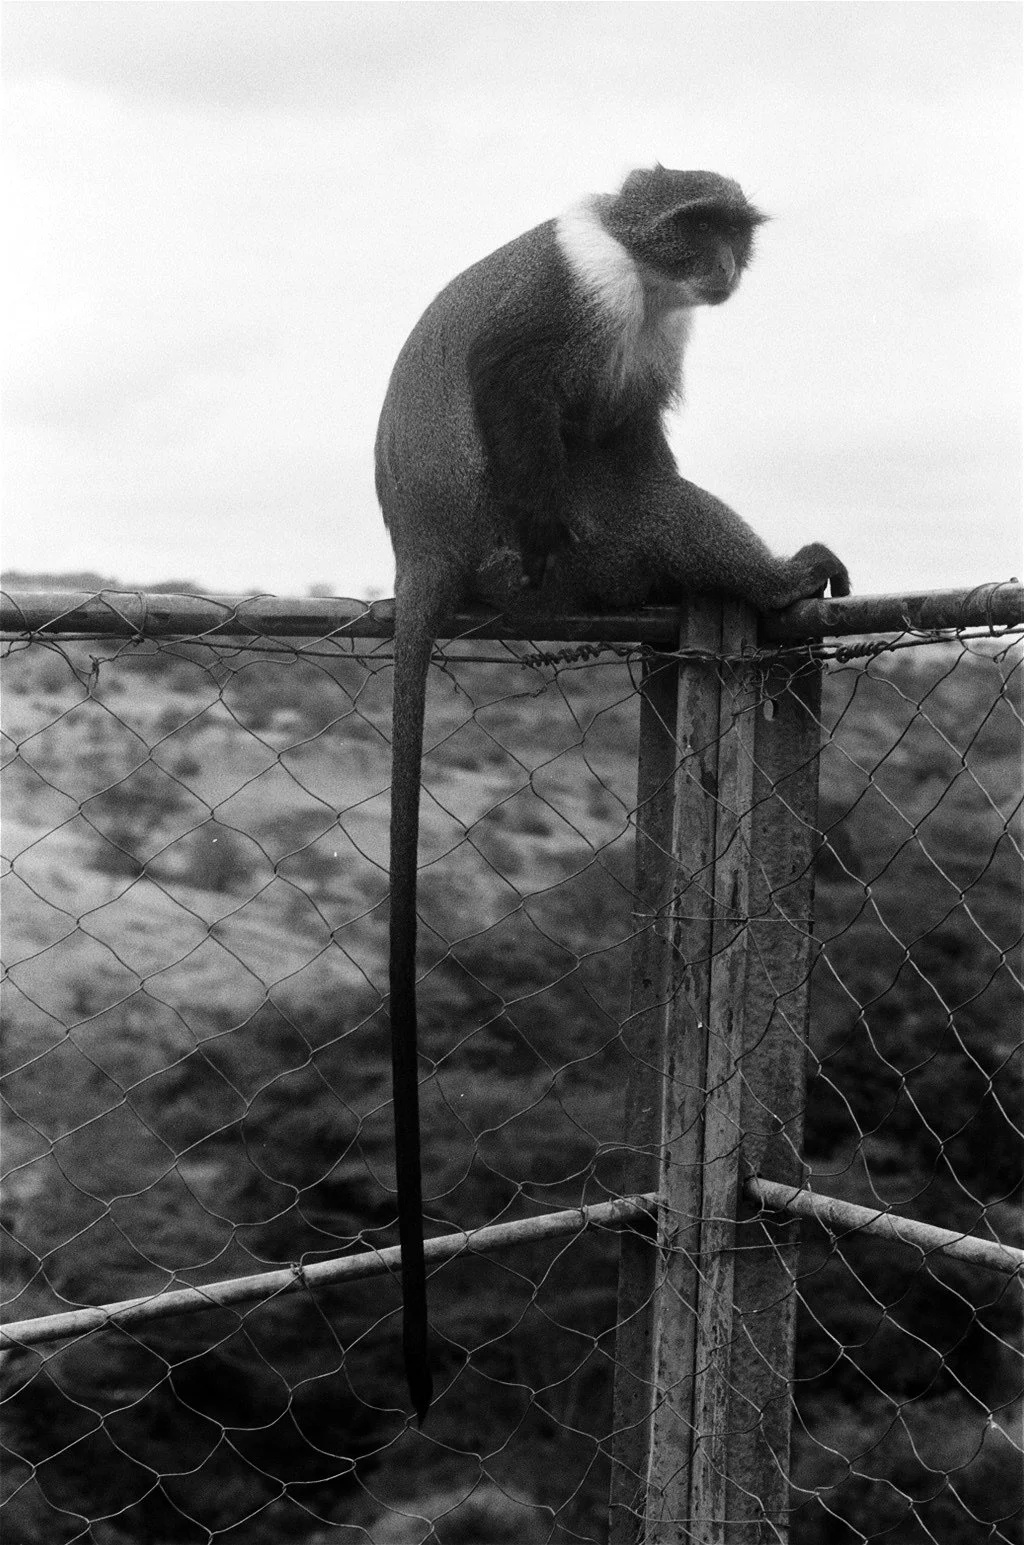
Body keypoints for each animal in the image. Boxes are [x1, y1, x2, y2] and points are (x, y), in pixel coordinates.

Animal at [374, 164, 850, 1421]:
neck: (642, 276)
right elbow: (516, 383)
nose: (721, 267)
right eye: (695, 227)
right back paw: (766, 585)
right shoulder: (578, 294)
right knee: (602, 512)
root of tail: (420, 560)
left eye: (732, 233)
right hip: (517, 552)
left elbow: (629, 443)